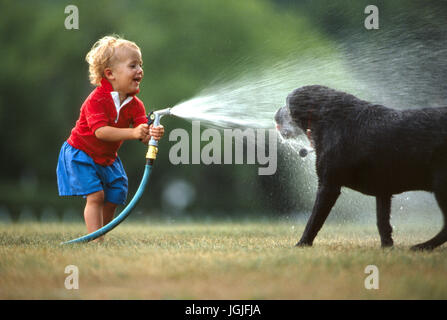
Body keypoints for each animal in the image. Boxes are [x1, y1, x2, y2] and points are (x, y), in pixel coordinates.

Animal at [276, 85, 447, 250]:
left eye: (287, 104)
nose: (276, 114)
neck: (328, 118)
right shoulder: (383, 190)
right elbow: (382, 222)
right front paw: (387, 247)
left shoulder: (328, 185)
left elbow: (314, 220)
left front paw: (302, 244)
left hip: (441, 186)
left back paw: (423, 246)